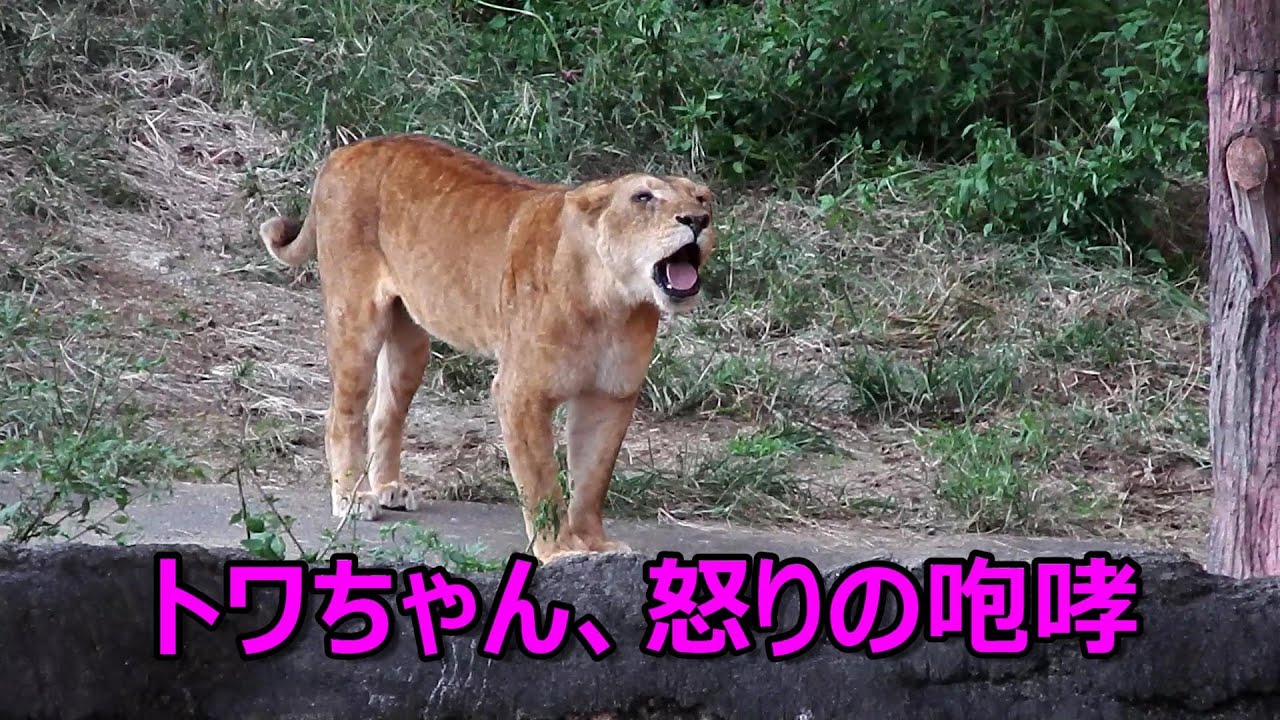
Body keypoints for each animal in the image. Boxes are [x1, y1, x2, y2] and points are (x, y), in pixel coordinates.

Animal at [257, 133, 716, 563]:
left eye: (700, 198)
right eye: (643, 197)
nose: (699, 219)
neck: (616, 303)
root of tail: (349, 150)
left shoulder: (611, 395)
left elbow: (592, 480)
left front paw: (596, 544)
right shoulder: (521, 393)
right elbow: (541, 482)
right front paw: (558, 550)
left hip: (411, 340)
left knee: (385, 411)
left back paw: (389, 487)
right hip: (355, 319)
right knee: (343, 413)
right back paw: (352, 498)